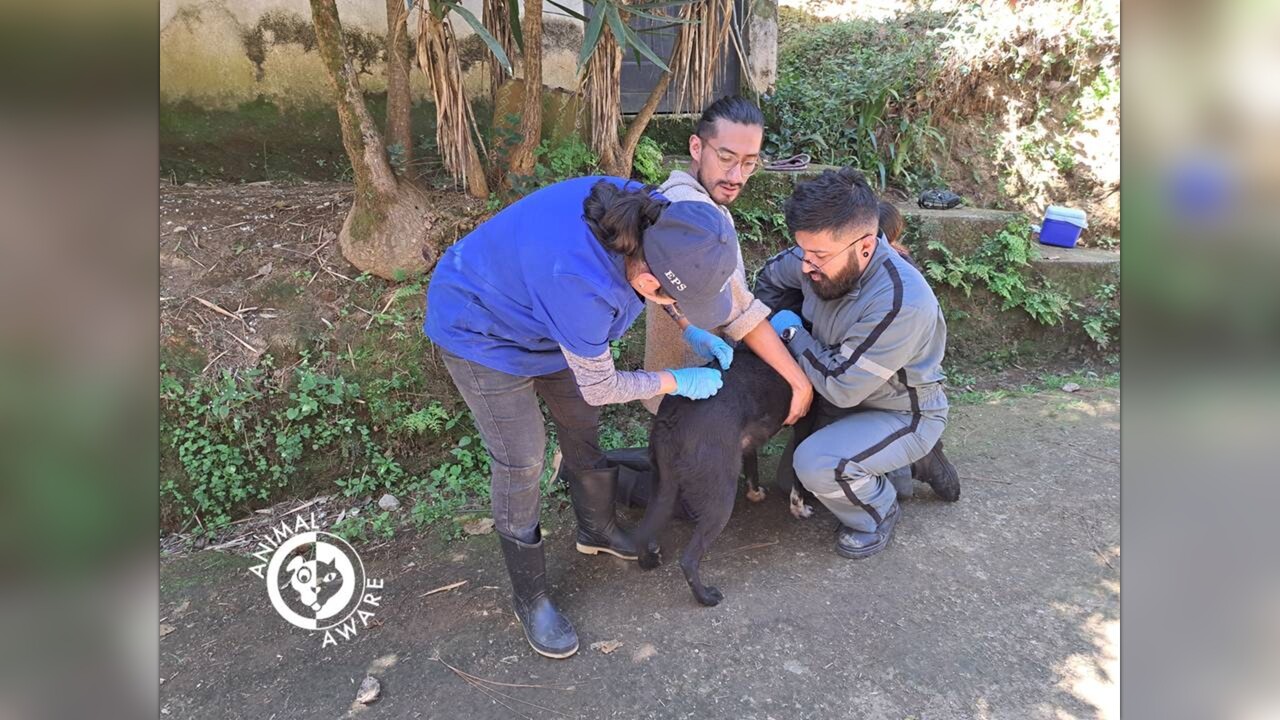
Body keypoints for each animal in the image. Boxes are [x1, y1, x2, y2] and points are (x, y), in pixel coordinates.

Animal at [631, 349, 792, 606]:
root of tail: (674, 419)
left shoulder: (746, 444)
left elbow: (753, 469)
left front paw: (755, 494)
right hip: (721, 498)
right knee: (688, 559)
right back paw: (706, 597)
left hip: (663, 487)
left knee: (641, 533)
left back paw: (648, 562)